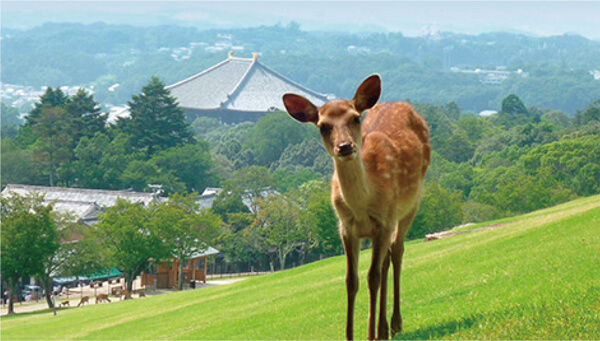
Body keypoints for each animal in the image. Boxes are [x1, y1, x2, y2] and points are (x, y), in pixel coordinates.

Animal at [282, 73, 428, 338]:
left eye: (355, 117)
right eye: (323, 126)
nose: (345, 146)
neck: (362, 205)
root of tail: (403, 104)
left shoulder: (384, 221)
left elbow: (373, 277)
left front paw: (370, 335)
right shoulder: (346, 227)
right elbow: (351, 280)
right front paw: (352, 335)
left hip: (412, 202)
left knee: (397, 250)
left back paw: (395, 324)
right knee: (387, 257)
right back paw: (383, 328)